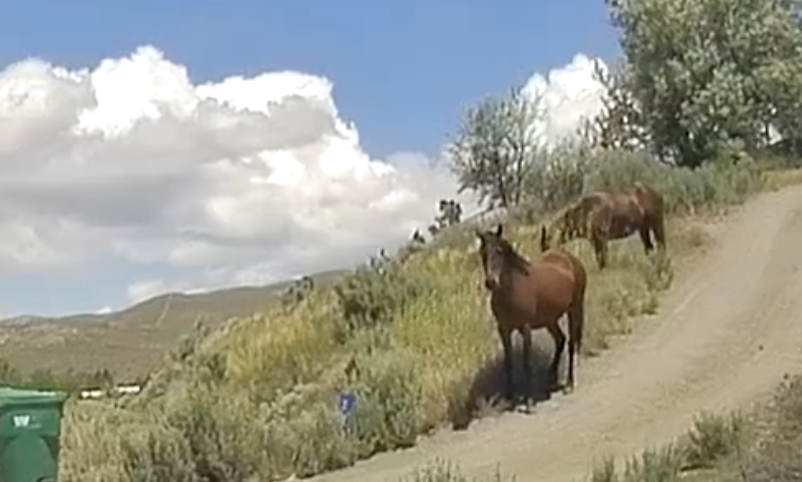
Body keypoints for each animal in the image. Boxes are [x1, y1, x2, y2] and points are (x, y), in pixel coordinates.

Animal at [475, 224, 588, 412]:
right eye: (482, 253)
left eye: (499, 251)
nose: (491, 282)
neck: (512, 289)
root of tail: (569, 258)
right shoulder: (503, 330)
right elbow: (508, 362)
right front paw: (509, 397)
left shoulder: (525, 328)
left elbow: (526, 363)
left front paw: (529, 401)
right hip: (550, 319)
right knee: (560, 340)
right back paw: (550, 377)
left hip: (574, 309)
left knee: (571, 342)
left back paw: (569, 384)